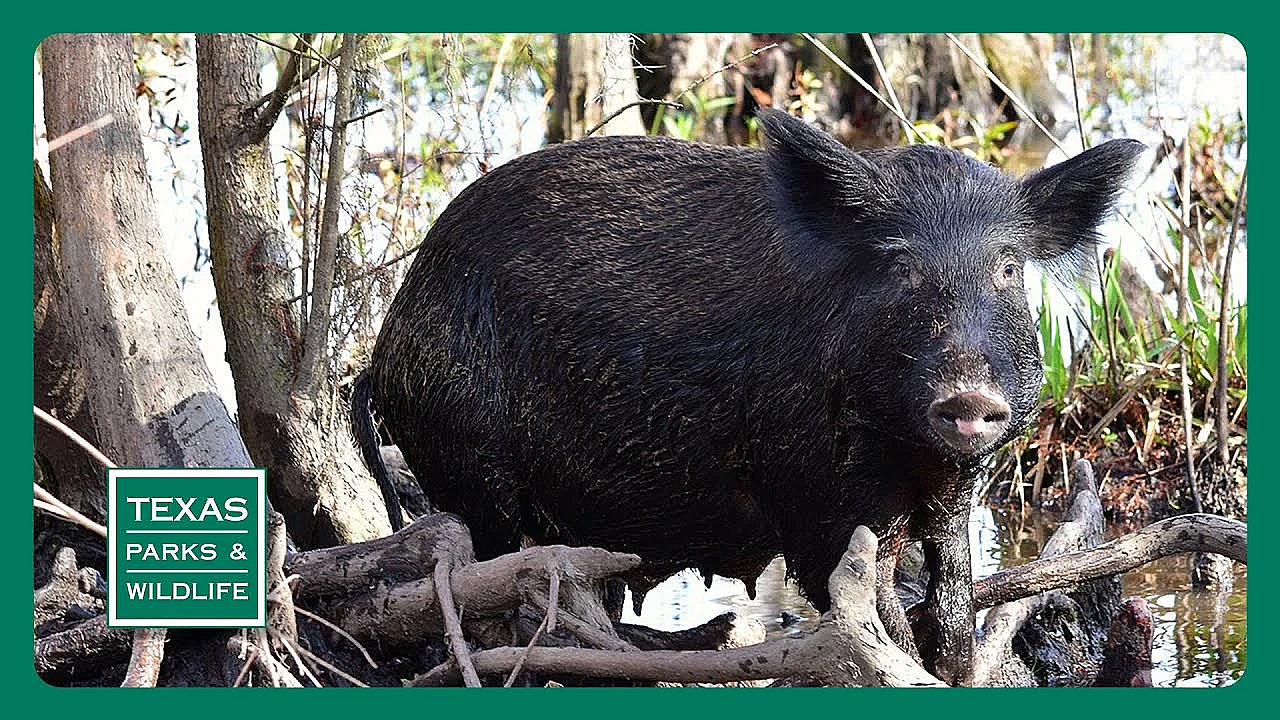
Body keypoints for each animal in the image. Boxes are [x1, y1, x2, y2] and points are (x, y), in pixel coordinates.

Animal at [351, 109, 1143, 684]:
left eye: (1008, 268)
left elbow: (951, 592)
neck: (904, 453)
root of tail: (384, 347)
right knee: (489, 574)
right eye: (899, 268)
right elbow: (872, 612)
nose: (968, 395)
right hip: (467, 454)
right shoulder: (809, 491)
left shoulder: (954, 490)